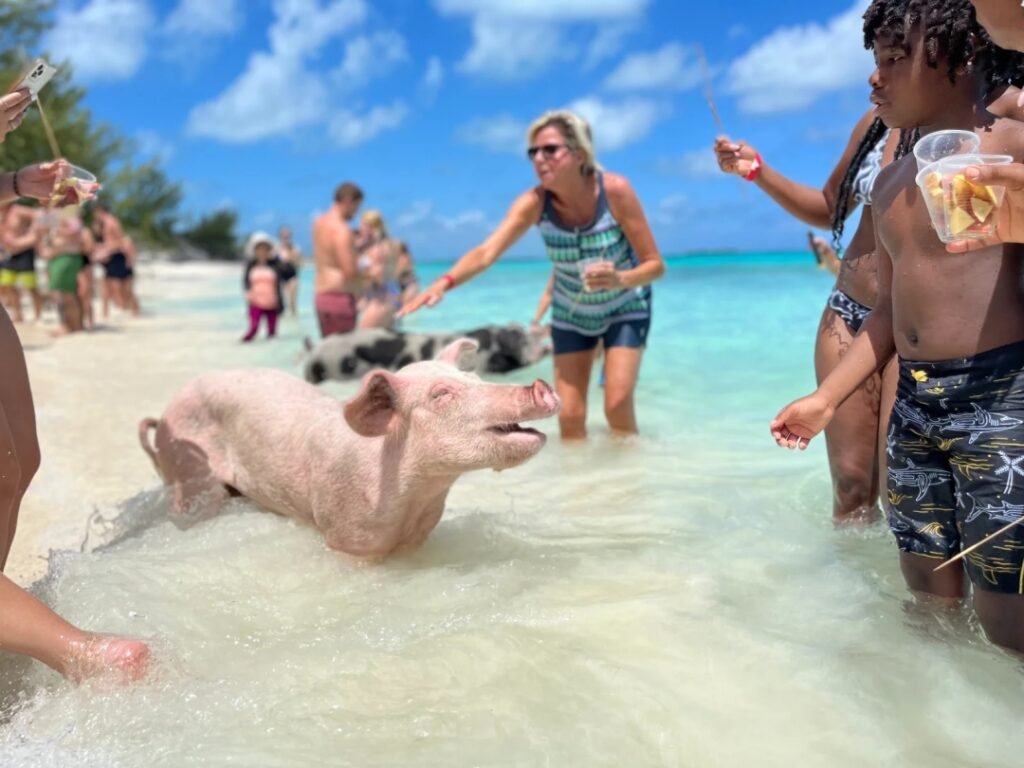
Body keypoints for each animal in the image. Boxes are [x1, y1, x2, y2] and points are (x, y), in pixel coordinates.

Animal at [138, 339, 561, 561]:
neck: (414, 498)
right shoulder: (345, 538)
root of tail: (165, 415)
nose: (541, 386)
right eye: (441, 394)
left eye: (474, 377)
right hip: (189, 472)